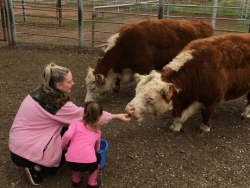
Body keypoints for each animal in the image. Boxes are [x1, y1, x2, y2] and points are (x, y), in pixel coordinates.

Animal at [84, 18, 213, 102]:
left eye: (93, 87)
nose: (86, 102)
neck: (124, 45)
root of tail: (205, 23)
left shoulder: (144, 67)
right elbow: (118, 79)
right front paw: (116, 87)